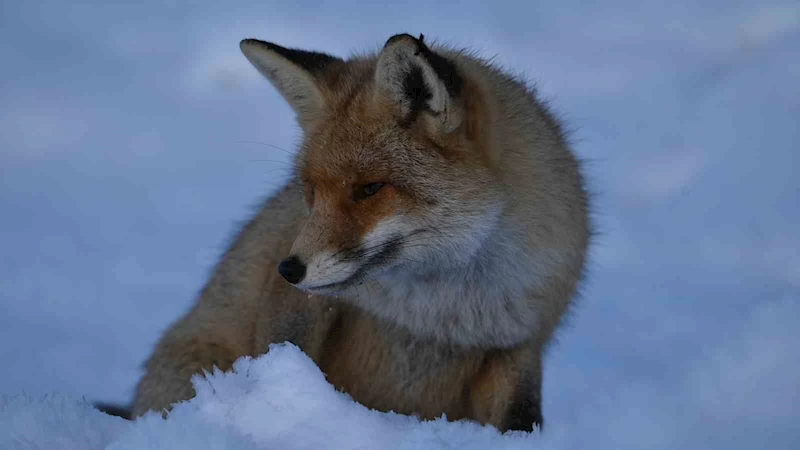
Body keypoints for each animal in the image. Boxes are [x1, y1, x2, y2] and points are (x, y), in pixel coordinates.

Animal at [97, 31, 592, 432]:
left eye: (370, 188)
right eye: (311, 191)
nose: (289, 269)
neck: (437, 312)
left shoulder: (519, 347)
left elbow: (519, 421)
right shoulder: (302, 307)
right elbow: (287, 358)